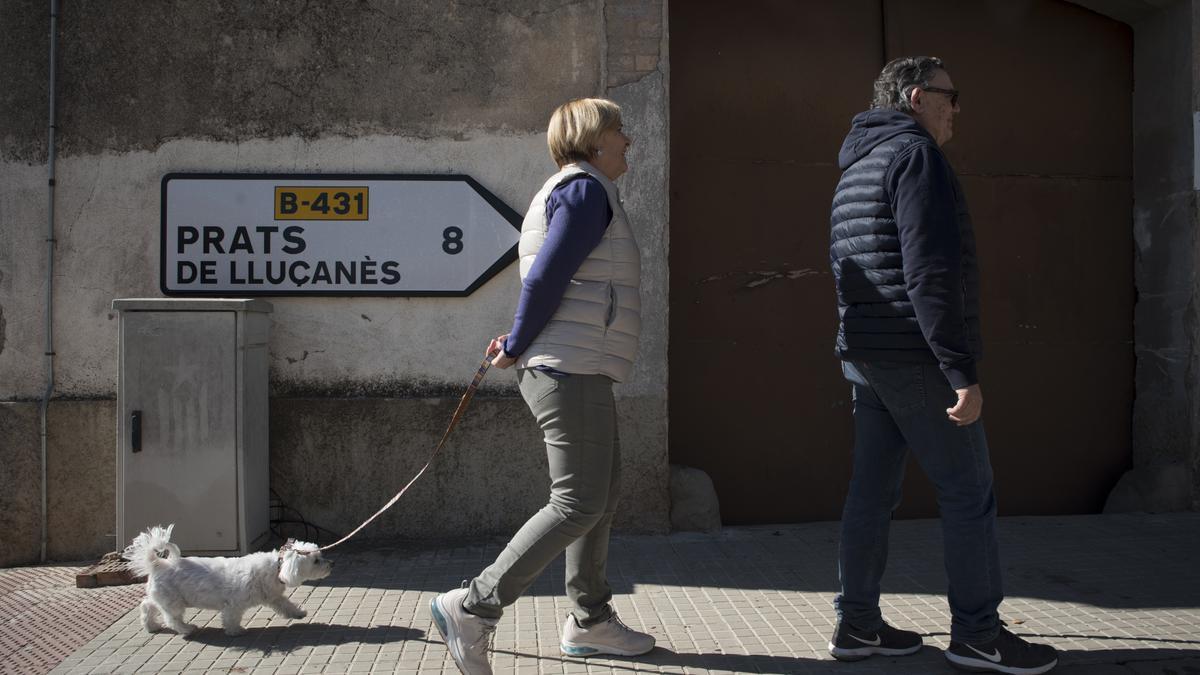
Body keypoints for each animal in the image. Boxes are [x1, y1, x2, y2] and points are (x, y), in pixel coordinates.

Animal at [123, 523, 333, 634]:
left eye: (320, 556)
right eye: (316, 560)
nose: (330, 564)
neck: (277, 568)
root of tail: (158, 564)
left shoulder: (274, 597)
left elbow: (286, 605)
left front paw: (298, 613)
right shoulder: (234, 603)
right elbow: (231, 617)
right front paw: (235, 631)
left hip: (161, 596)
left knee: (148, 605)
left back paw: (150, 625)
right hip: (173, 601)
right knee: (172, 618)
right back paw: (186, 628)